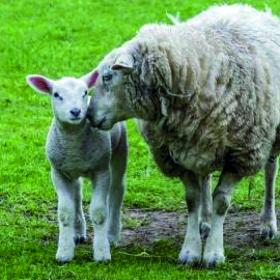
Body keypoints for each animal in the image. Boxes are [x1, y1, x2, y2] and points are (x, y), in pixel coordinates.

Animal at [26, 74, 127, 262]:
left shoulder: (101, 171)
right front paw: (64, 252)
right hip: (73, 171)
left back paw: (112, 235)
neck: (73, 143)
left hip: (119, 150)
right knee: (77, 194)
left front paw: (102, 252)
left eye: (84, 92)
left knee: (117, 190)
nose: (75, 111)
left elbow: (99, 213)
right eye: (56, 94)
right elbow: (66, 212)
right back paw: (78, 233)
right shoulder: (58, 173)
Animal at [86, 4, 278, 266]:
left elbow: (222, 202)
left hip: (270, 137)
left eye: (107, 77)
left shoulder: (242, 153)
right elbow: (192, 199)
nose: (88, 115)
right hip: (202, 141)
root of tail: (240, 7)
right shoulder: (174, 154)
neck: (196, 70)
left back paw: (268, 224)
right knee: (205, 177)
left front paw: (214, 253)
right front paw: (191, 250)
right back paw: (205, 222)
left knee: (270, 173)